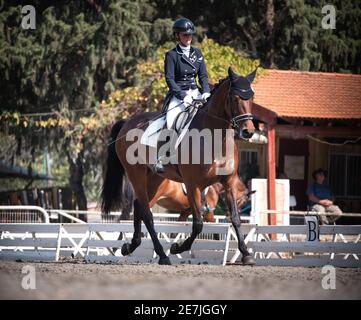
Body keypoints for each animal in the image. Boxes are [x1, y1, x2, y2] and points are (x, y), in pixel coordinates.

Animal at [102, 67, 256, 264]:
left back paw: (131, 246)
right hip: (135, 174)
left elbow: (235, 219)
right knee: (147, 214)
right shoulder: (193, 187)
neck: (215, 139)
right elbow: (197, 224)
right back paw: (161, 255)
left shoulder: (228, 183)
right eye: (235, 98)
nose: (248, 131)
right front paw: (177, 248)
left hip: (155, 178)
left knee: (139, 207)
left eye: (252, 97)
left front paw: (246, 254)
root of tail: (127, 122)